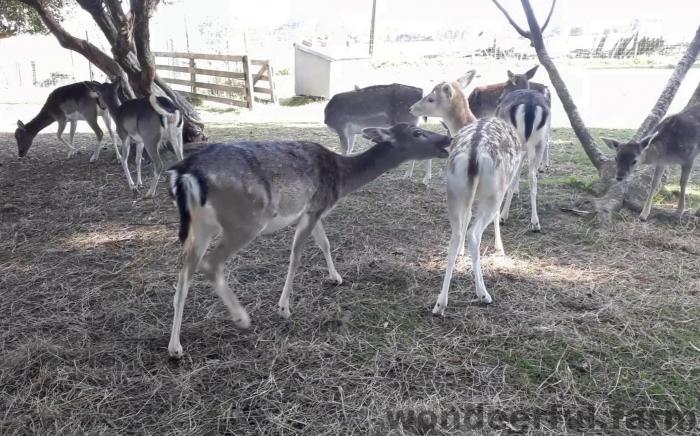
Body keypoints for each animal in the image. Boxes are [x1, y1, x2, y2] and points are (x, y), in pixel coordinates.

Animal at [165, 123, 451, 358]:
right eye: (417, 132)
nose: (447, 139)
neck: (341, 177)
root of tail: (185, 173)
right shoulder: (314, 207)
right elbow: (296, 255)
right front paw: (284, 308)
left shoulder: (316, 209)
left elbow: (324, 242)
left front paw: (336, 277)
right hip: (246, 220)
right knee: (210, 264)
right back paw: (241, 318)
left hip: (202, 225)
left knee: (184, 270)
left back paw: (175, 346)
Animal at [432, 118, 522, 316]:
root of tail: (474, 155)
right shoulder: (503, 188)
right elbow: (496, 216)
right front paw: (499, 247)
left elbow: (467, 218)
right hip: (493, 192)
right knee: (474, 234)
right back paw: (483, 294)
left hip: (454, 192)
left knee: (456, 236)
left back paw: (440, 304)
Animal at [496, 89, 551, 232]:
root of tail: (530, 106)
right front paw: (517, 190)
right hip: (539, 142)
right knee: (532, 176)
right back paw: (535, 223)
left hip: (515, 142)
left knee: (514, 174)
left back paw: (503, 216)